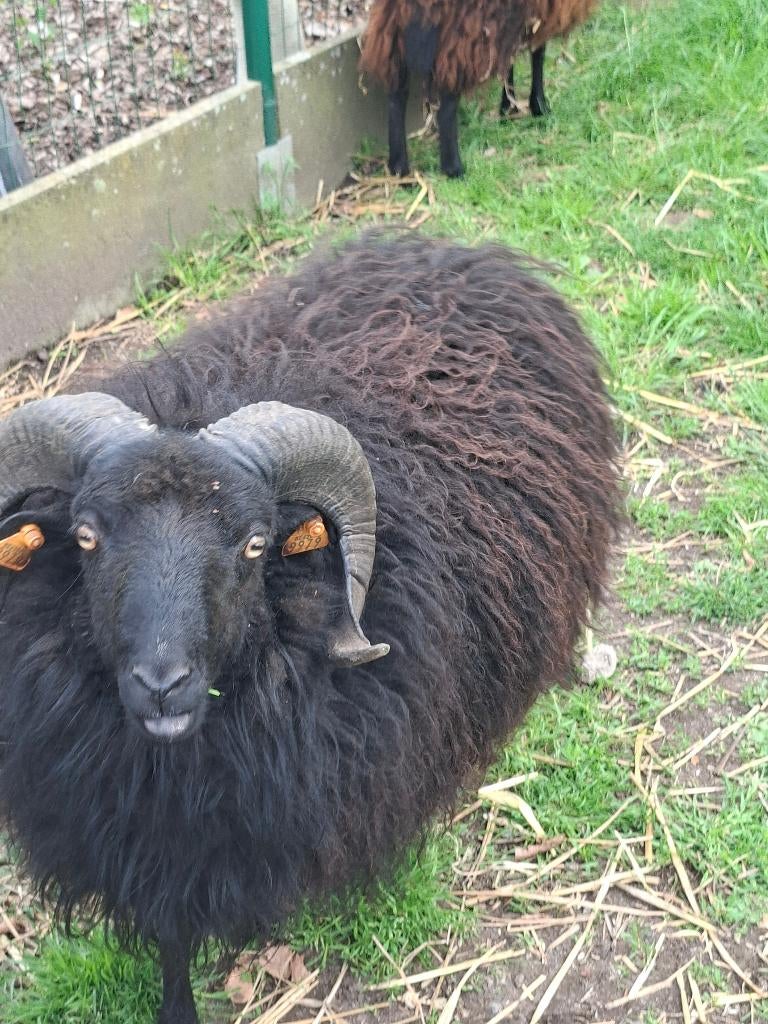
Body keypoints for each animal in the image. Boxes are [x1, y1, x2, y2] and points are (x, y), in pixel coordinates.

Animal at [0, 232, 621, 1024]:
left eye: (254, 544)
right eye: (85, 537)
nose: (162, 685)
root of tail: (459, 251)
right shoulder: (143, 843)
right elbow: (171, 943)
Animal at [359, 0, 599, 177]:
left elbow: (508, 59)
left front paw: (508, 107)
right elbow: (537, 52)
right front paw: (539, 106)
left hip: (393, 30)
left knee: (396, 97)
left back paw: (398, 167)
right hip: (459, 32)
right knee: (447, 105)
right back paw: (453, 169)